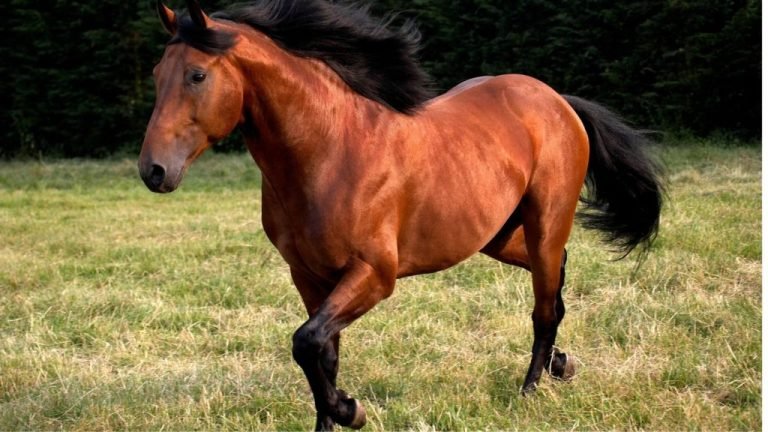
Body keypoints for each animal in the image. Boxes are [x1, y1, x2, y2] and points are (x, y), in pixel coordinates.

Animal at [139, 1, 664, 429]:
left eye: (197, 75)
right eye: (156, 74)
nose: (153, 171)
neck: (330, 150)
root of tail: (555, 99)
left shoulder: (375, 274)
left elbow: (306, 342)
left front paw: (351, 411)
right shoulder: (308, 276)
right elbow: (321, 354)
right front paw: (333, 417)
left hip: (544, 225)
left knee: (544, 306)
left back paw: (531, 389)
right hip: (498, 237)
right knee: (557, 280)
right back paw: (561, 364)